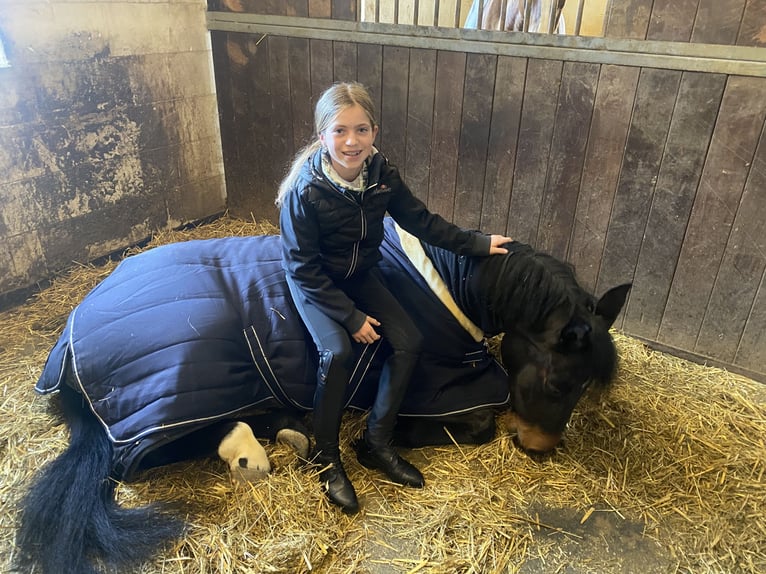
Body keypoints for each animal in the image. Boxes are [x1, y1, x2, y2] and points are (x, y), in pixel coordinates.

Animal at [15, 219, 632, 574]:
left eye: (582, 388)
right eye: (558, 383)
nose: (541, 449)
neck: (451, 289)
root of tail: (72, 344)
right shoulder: (440, 387)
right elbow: (476, 423)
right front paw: (380, 441)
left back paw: (294, 432)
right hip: (179, 391)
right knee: (151, 455)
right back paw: (267, 448)